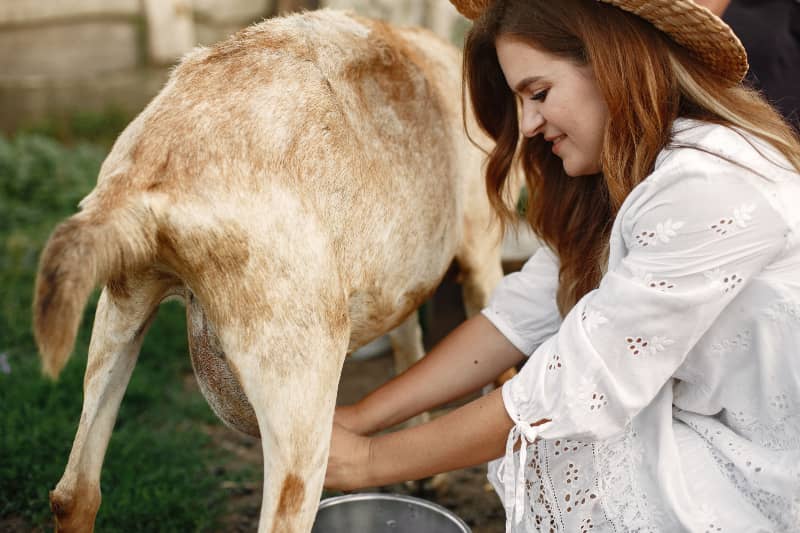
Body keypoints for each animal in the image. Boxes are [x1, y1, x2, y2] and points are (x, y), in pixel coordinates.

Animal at [34, 9, 506, 532]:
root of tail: (156, 173)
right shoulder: (482, 247)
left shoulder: (398, 280)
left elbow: (409, 345)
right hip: (297, 364)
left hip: (121, 304)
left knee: (74, 492)